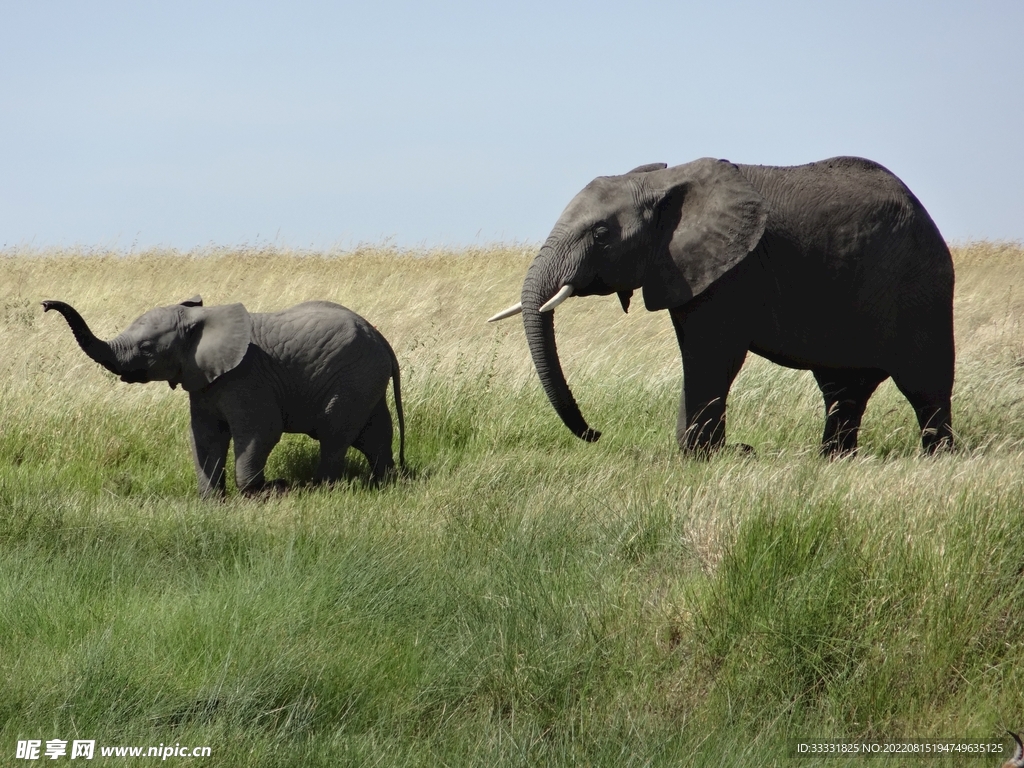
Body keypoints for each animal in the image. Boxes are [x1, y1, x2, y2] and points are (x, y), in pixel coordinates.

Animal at [43, 297, 406, 497]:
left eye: (146, 348)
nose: (46, 305)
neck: (200, 321)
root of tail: (383, 341)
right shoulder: (203, 381)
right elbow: (204, 435)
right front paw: (210, 501)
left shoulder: (247, 376)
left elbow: (261, 431)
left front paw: (265, 492)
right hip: (365, 379)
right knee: (374, 434)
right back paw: (386, 483)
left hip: (353, 378)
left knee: (335, 435)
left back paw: (321, 489)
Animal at [489, 156, 954, 456]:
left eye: (601, 234)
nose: (597, 433)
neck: (664, 182)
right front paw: (712, 452)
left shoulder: (734, 270)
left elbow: (711, 354)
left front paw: (702, 455)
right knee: (842, 390)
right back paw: (833, 460)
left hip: (921, 285)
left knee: (925, 383)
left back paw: (938, 458)